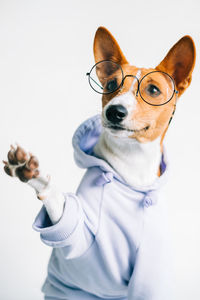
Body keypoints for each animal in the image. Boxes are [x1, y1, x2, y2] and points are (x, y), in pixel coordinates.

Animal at [3, 27, 196, 298]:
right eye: (112, 84)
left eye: (153, 90)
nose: (114, 111)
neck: (131, 168)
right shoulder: (81, 238)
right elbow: (60, 206)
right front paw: (29, 171)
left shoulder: (151, 272)